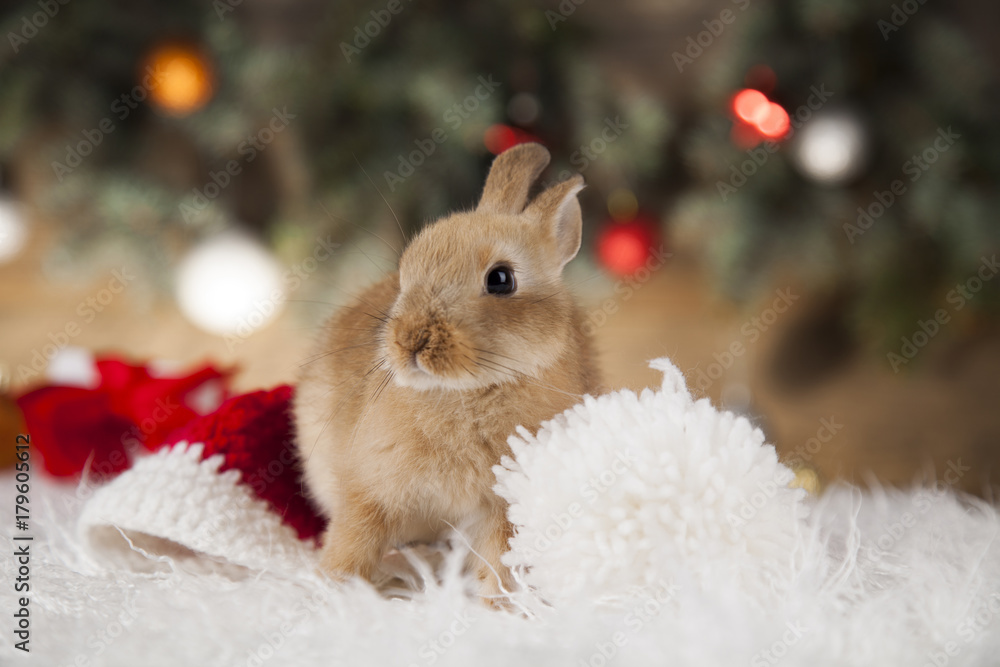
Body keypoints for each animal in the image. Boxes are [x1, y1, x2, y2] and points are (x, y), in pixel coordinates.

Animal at [294, 142, 601, 605]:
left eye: (501, 279)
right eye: (406, 272)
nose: (410, 340)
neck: (467, 392)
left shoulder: (503, 508)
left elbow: (501, 560)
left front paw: (499, 606)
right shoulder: (369, 490)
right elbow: (353, 542)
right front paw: (332, 590)